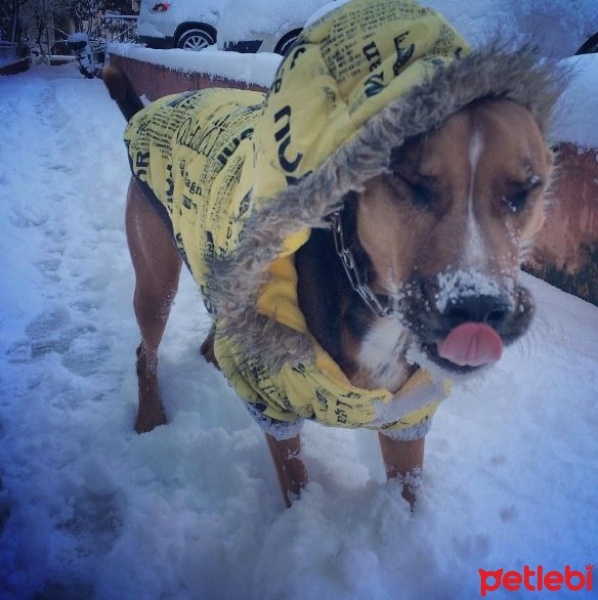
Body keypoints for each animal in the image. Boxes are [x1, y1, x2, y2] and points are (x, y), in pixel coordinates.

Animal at [103, 0, 568, 506]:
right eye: (410, 182)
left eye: (525, 191)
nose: (479, 307)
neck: (374, 309)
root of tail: (147, 113)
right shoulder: (273, 406)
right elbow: (296, 482)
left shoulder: (409, 417)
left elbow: (406, 495)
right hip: (156, 282)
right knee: (145, 349)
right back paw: (150, 416)